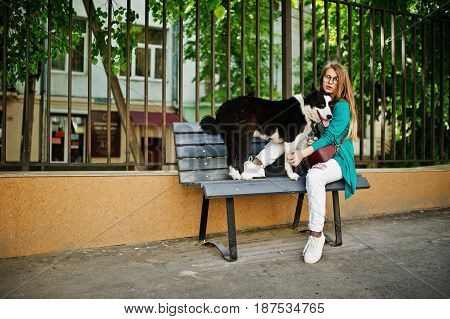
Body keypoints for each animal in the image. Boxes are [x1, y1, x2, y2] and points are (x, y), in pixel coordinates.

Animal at [199, 89, 332, 181]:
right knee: (240, 158)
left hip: (231, 138)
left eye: (330, 105)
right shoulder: (290, 139)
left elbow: (298, 158)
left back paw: (235, 175)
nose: (330, 116)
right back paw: (244, 175)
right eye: (321, 105)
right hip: (245, 135)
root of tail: (224, 107)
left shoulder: (298, 141)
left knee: (230, 159)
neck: (304, 108)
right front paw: (291, 175)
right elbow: (289, 161)